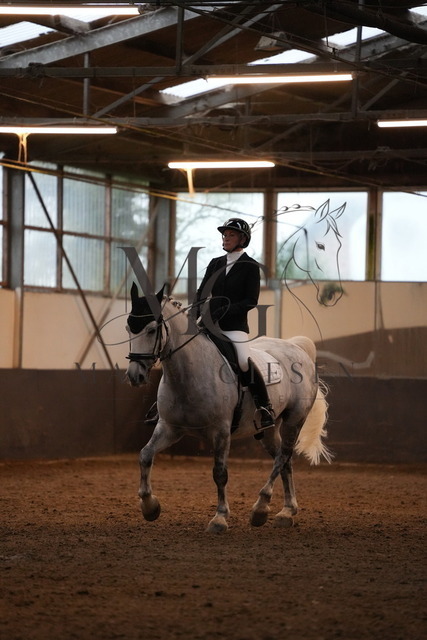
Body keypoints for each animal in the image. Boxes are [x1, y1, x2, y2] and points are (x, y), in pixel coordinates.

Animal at [125, 283, 332, 533]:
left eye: (152, 330)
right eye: (128, 328)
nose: (135, 375)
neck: (188, 374)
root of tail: (296, 348)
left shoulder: (221, 431)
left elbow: (220, 473)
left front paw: (220, 518)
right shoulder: (170, 428)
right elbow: (145, 455)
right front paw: (150, 507)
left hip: (294, 420)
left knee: (282, 457)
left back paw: (261, 508)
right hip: (267, 430)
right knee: (285, 460)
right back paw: (286, 511)